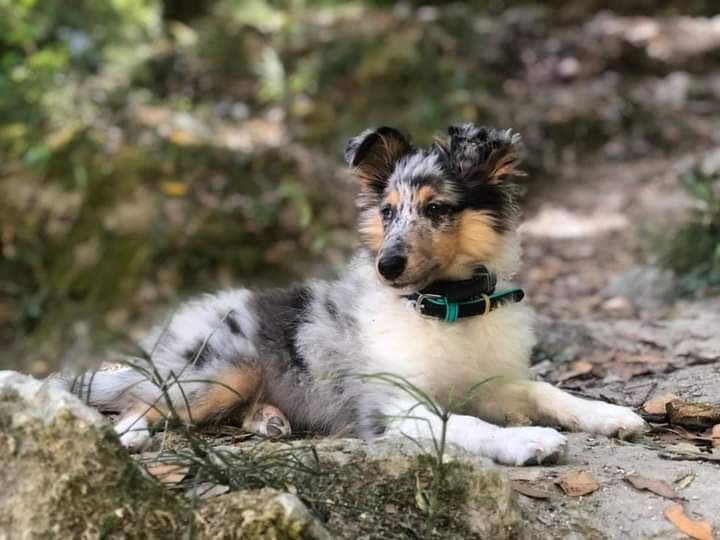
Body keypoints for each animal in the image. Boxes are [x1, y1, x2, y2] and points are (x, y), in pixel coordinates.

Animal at [70, 124, 648, 466]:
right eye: (387, 211)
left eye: (436, 209)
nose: (386, 266)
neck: (446, 306)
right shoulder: (393, 402)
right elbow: (463, 422)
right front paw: (526, 441)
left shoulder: (493, 382)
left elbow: (544, 391)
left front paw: (608, 415)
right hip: (220, 371)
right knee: (141, 401)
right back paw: (129, 436)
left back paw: (270, 419)